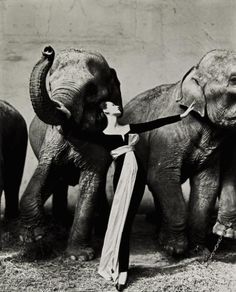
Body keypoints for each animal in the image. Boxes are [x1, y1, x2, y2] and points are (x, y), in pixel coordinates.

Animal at [19, 46, 122, 260]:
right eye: (50, 85)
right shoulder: (51, 141)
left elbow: (92, 179)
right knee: (57, 182)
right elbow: (45, 170)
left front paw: (77, 257)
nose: (48, 51)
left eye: (91, 90)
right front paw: (34, 238)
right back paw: (59, 227)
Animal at [121, 49, 236, 256]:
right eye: (234, 79)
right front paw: (175, 250)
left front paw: (200, 251)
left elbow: (207, 183)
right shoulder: (167, 136)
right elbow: (161, 177)